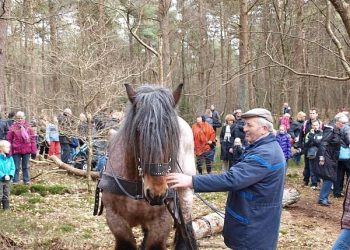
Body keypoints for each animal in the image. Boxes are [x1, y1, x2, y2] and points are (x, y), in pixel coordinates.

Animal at [99, 84, 197, 250]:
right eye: (138, 129)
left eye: (171, 132)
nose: (157, 193)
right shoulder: (115, 219)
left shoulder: (162, 222)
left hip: (185, 193)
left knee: (186, 224)